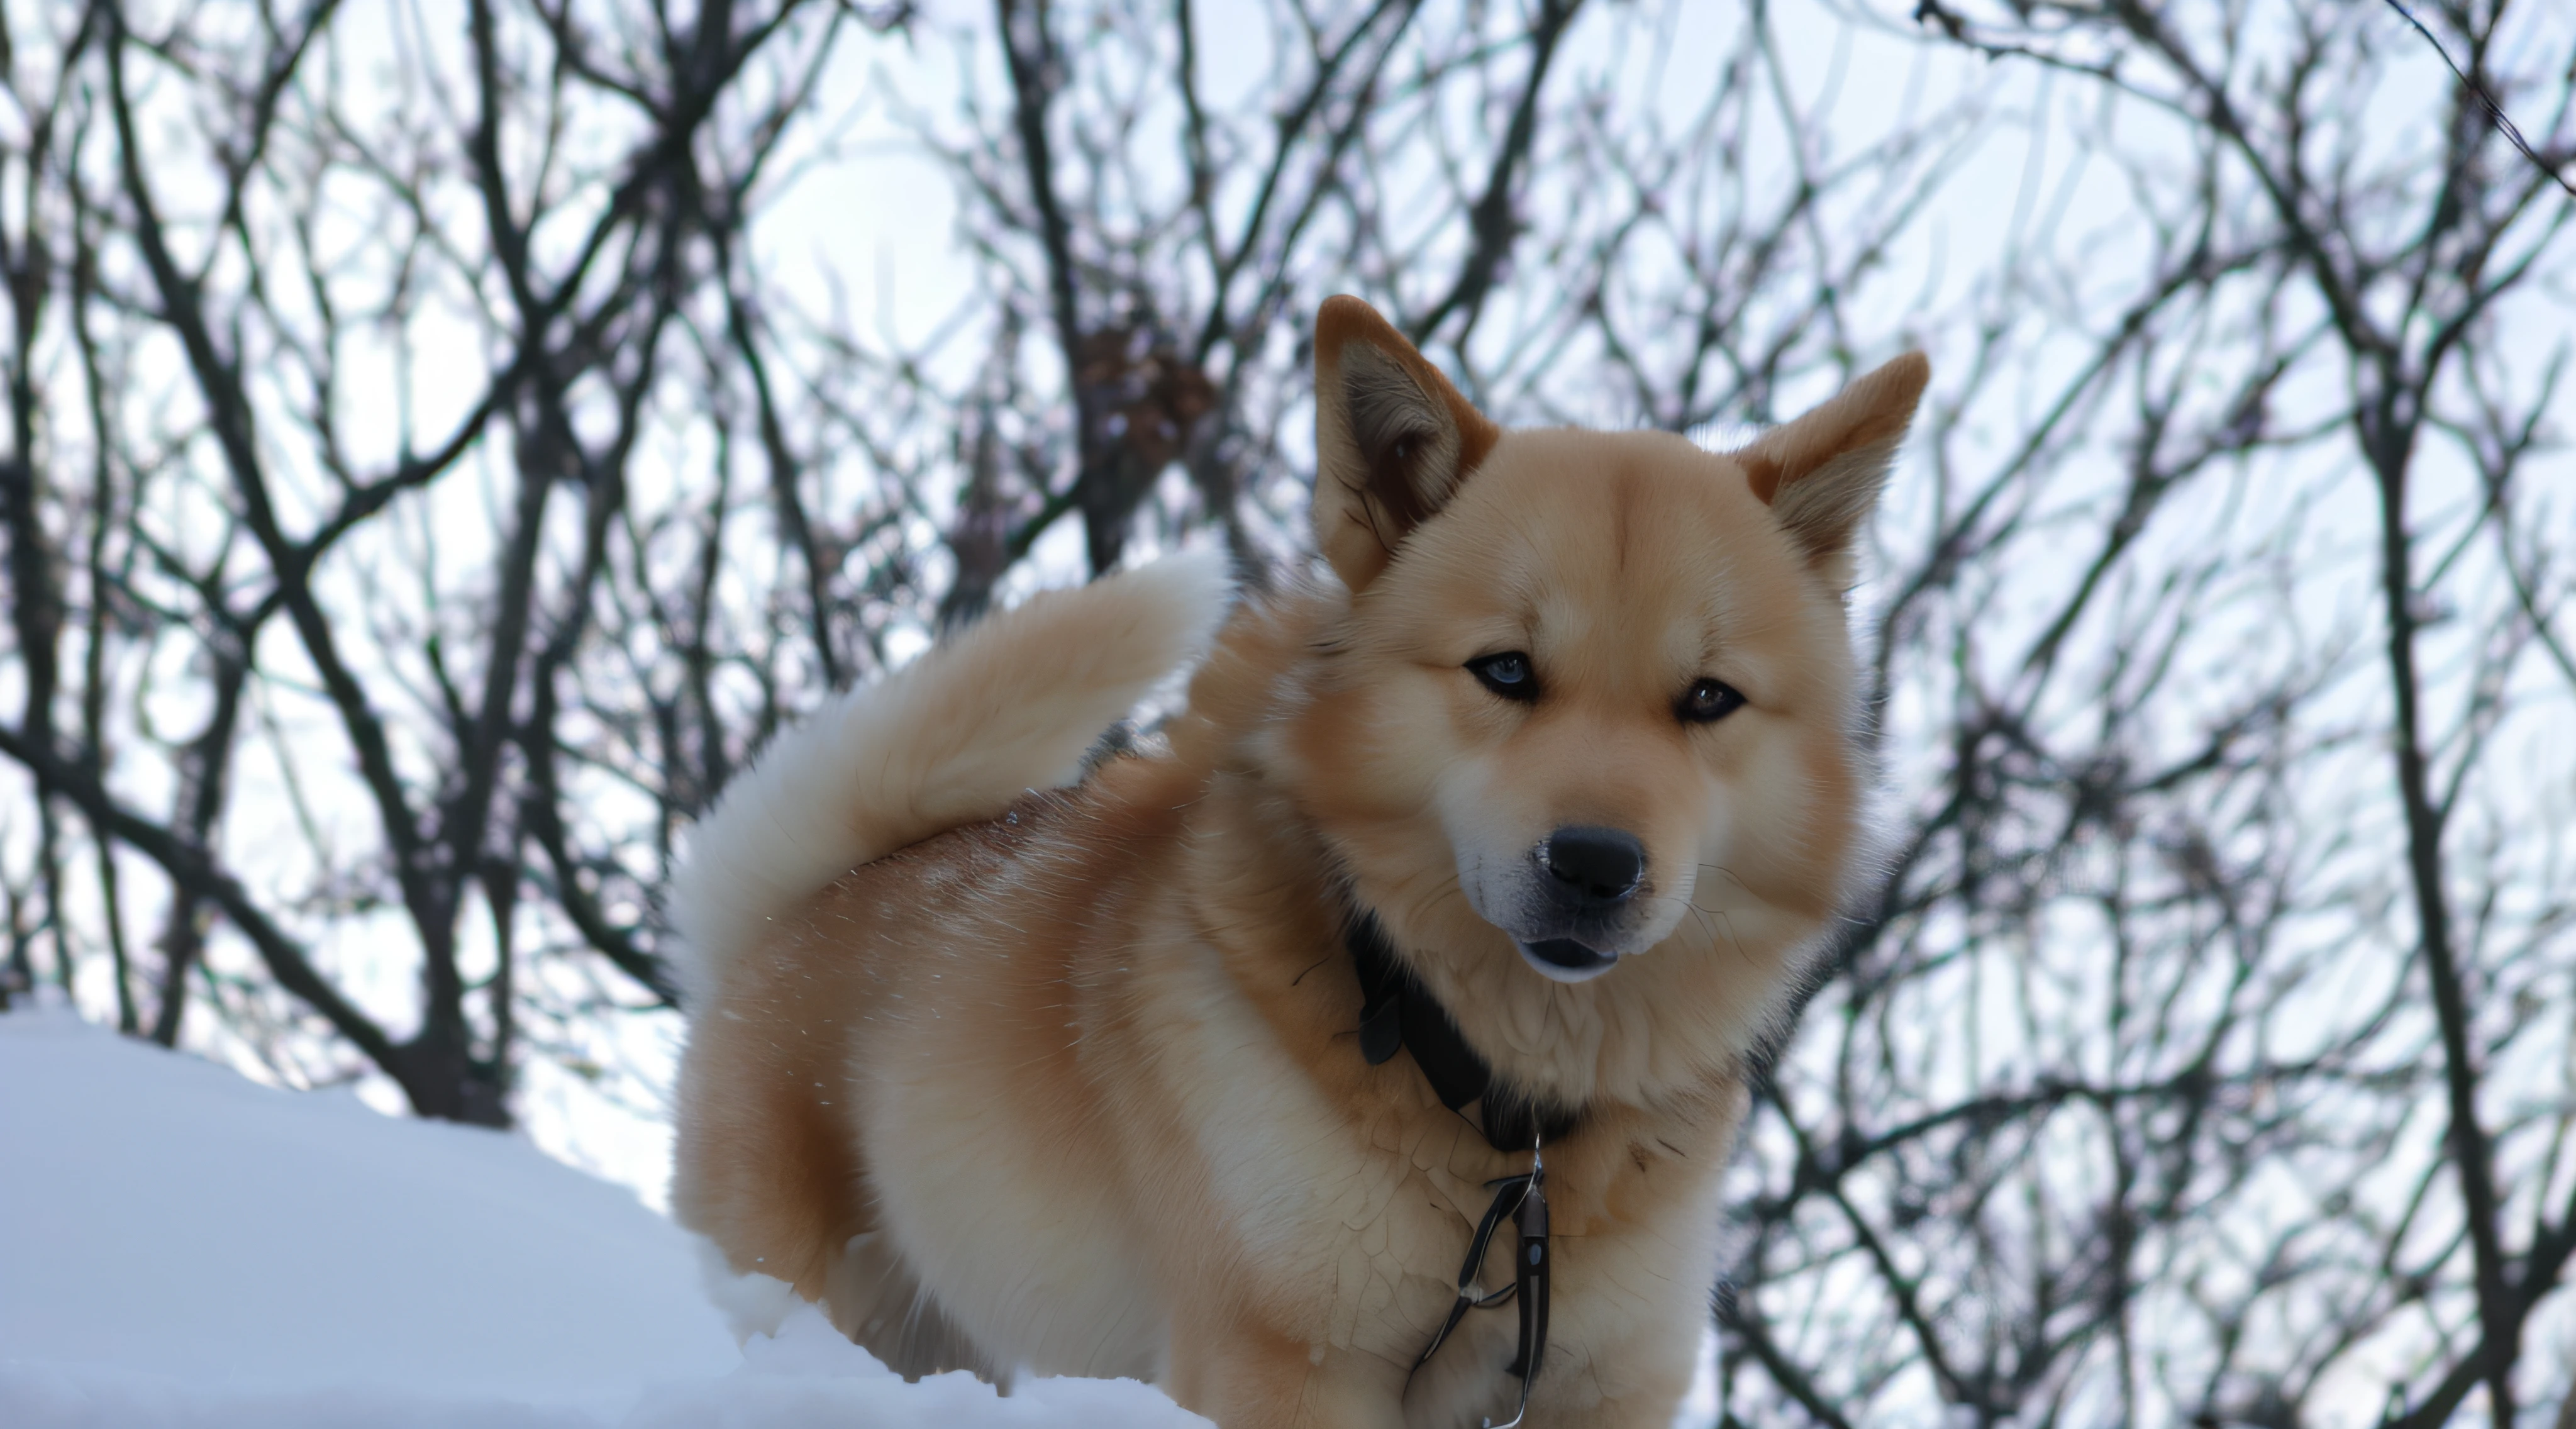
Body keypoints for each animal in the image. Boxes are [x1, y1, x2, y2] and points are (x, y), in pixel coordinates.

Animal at [675, 296, 1926, 1421]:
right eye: (1506, 670)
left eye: (1708, 698)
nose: (1594, 864)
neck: (1504, 1121)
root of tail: (802, 903)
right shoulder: (1286, 1359)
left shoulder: (1604, 1382)